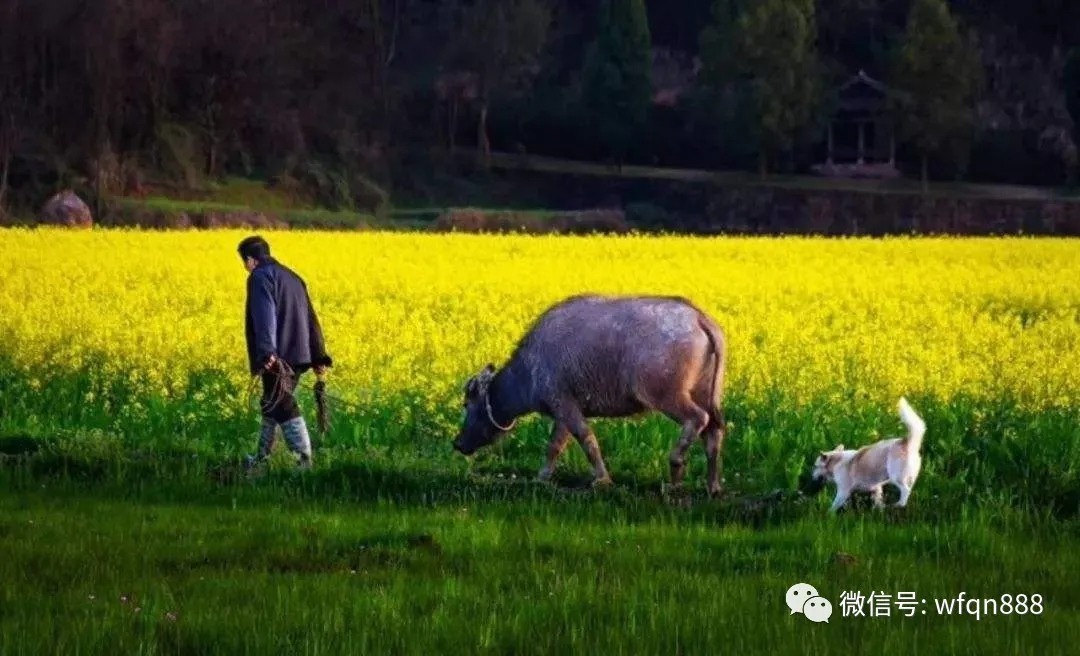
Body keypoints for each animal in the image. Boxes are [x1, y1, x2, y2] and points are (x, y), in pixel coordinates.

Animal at [451, 296, 730, 494]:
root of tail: (699, 318)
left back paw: (676, 466)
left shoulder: (565, 405)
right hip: (706, 392)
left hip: (666, 395)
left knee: (698, 418)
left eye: (467, 403)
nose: (458, 443)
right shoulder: (563, 412)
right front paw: (542, 477)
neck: (528, 369)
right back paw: (713, 485)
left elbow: (587, 440)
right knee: (714, 430)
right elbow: (554, 446)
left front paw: (602, 479)